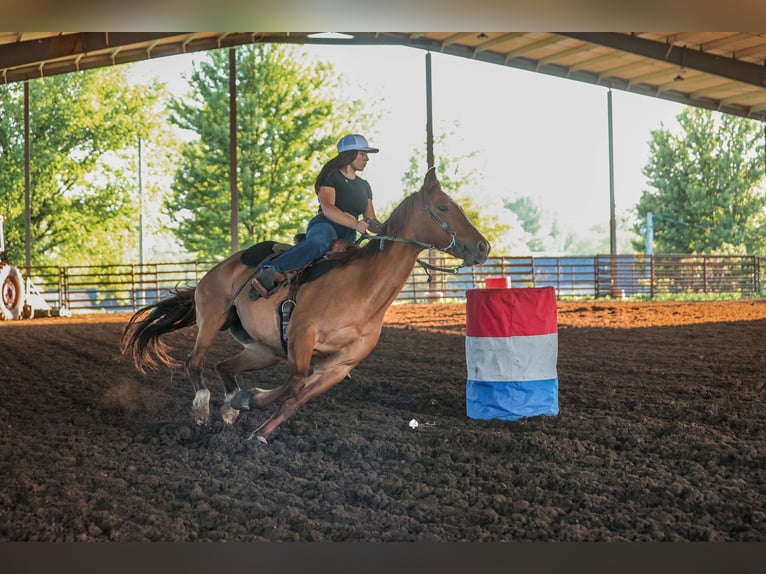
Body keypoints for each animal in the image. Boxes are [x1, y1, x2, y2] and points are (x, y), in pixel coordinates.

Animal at [120, 167, 490, 444]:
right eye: (443, 207)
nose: (483, 247)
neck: (364, 289)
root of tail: (218, 268)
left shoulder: (342, 363)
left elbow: (297, 397)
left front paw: (258, 431)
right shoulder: (302, 333)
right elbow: (295, 382)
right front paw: (249, 400)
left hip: (265, 348)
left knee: (224, 366)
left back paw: (228, 408)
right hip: (212, 318)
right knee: (194, 363)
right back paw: (203, 407)